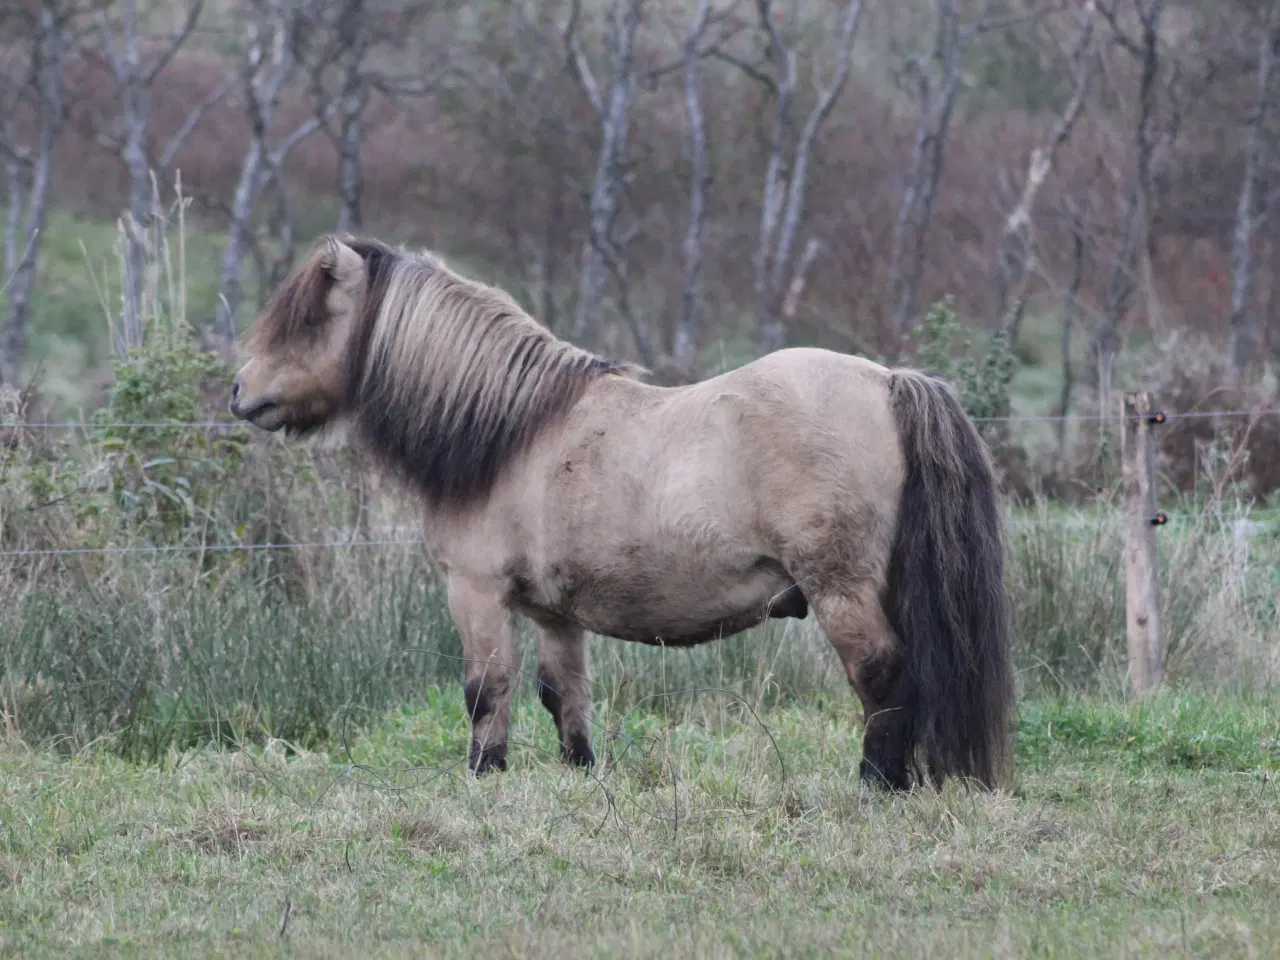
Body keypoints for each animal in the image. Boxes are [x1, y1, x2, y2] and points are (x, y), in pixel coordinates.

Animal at [225, 232, 1013, 788]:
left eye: (304, 321)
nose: (239, 393)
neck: (511, 433)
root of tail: (888, 381)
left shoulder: (476, 593)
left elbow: (486, 691)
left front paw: (483, 777)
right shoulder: (554, 612)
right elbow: (563, 695)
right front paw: (581, 773)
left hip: (840, 588)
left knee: (881, 675)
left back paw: (876, 783)